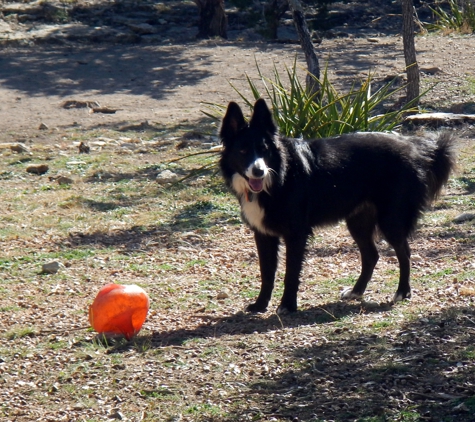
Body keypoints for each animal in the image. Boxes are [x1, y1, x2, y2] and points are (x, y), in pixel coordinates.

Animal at [220, 97, 458, 312]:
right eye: (243, 151)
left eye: (264, 150)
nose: (258, 171)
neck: (278, 176)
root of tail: (416, 148)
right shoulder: (263, 234)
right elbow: (267, 273)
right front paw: (260, 305)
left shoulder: (296, 233)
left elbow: (291, 272)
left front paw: (287, 305)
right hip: (359, 221)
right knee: (371, 255)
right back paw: (356, 291)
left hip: (390, 219)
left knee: (404, 252)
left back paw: (402, 292)